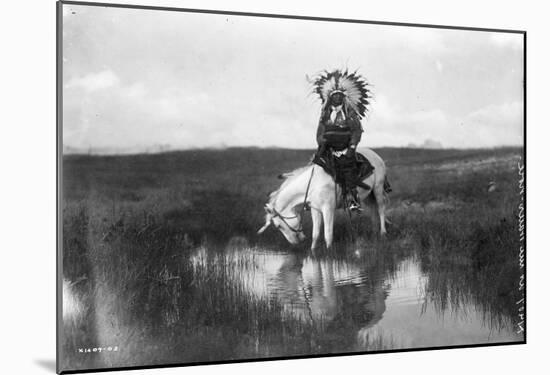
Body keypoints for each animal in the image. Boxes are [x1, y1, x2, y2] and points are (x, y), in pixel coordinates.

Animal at [260, 148, 390, 251]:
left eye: (278, 226)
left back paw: (383, 233)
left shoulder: (328, 209)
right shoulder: (315, 210)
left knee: (381, 209)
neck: (313, 184)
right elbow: (315, 234)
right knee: (373, 210)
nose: (294, 243)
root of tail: (375, 154)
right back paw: (375, 232)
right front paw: (313, 252)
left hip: (378, 189)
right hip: (368, 195)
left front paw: (329, 253)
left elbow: (328, 234)